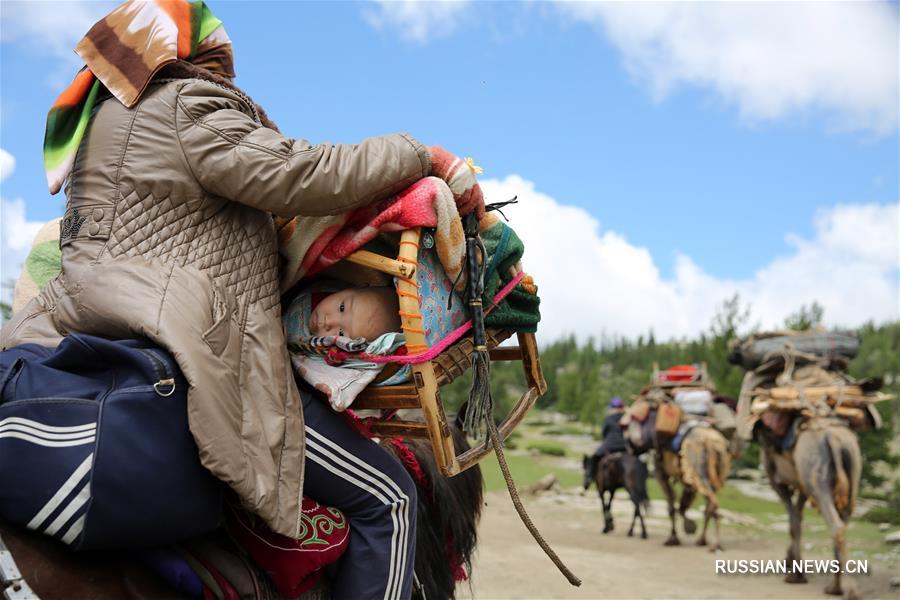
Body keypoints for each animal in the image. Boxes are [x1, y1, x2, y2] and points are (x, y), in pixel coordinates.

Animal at [652, 424, 732, 552]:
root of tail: (710, 442)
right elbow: (682, 505)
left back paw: (714, 544)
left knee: (712, 503)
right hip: (716, 469)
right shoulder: (687, 480)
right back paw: (704, 541)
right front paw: (689, 528)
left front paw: (674, 538)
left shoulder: (661, 472)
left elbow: (672, 505)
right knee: (710, 504)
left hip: (697, 470)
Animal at [756, 418, 860, 600]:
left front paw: (795, 575)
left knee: (836, 525)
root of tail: (835, 438)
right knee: (843, 522)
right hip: (852, 473)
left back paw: (849, 592)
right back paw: (834, 588)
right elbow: (798, 516)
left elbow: (793, 522)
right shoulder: (801, 484)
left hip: (814, 474)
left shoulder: (777, 480)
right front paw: (791, 562)